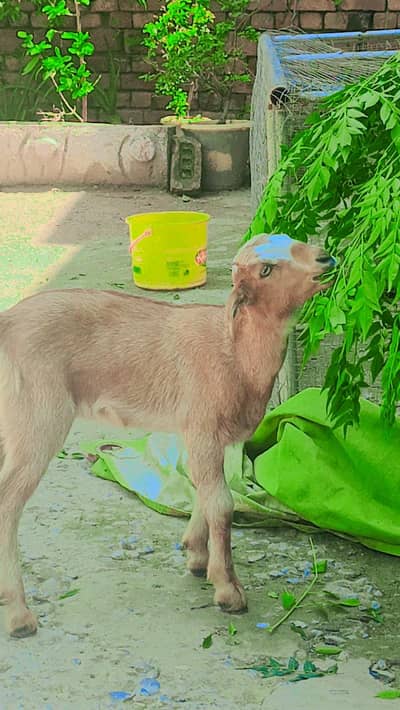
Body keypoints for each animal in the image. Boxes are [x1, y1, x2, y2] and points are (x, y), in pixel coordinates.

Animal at [0, 232, 335, 638]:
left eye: (292, 241)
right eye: (266, 270)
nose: (325, 260)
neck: (235, 352)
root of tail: (6, 323)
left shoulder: (207, 436)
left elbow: (205, 489)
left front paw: (196, 554)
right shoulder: (203, 426)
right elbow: (222, 502)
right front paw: (228, 590)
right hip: (37, 416)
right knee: (8, 502)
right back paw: (19, 614)